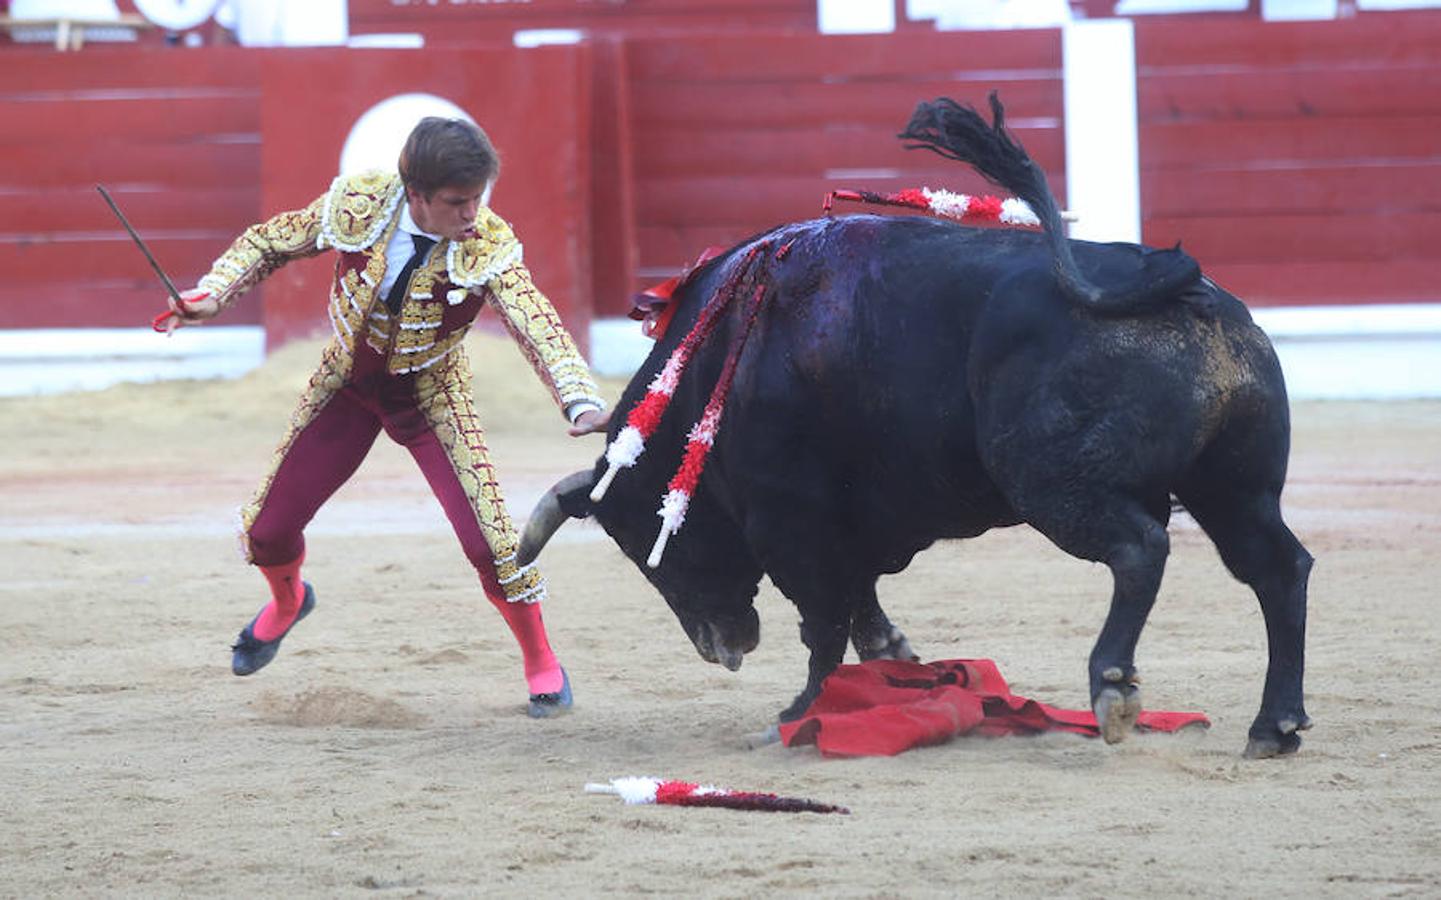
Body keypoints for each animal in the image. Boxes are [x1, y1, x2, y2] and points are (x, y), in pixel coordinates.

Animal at [524, 96, 1314, 760]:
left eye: (646, 548)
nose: (724, 647)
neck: (716, 368)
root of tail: (1179, 290)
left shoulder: (792, 525)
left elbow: (824, 623)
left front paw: (795, 716)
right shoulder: (854, 524)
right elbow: (859, 604)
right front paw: (892, 655)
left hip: (1054, 486)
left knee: (1140, 548)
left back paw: (1113, 688)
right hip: (1232, 486)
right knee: (1277, 567)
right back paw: (1271, 727)